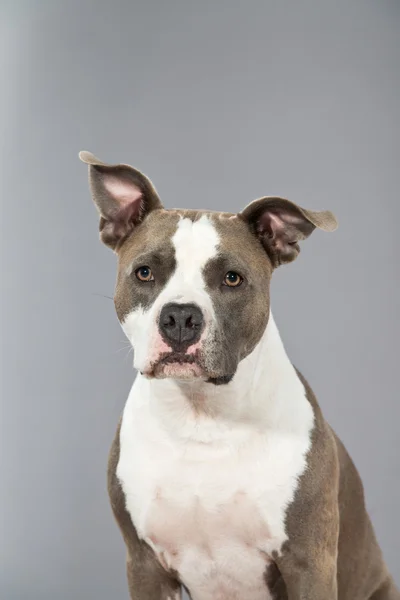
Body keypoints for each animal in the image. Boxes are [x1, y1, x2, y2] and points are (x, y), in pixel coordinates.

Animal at [79, 151, 398, 600]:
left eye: (232, 278)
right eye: (144, 273)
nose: (180, 317)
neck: (202, 417)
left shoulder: (309, 562)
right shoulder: (144, 565)